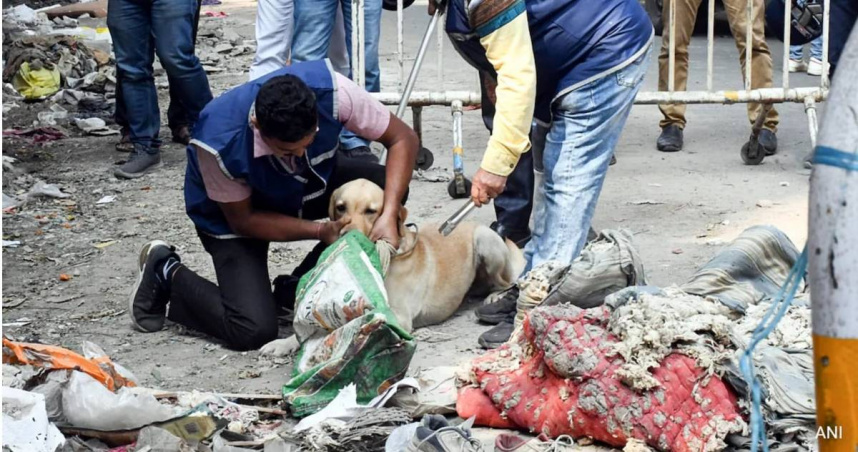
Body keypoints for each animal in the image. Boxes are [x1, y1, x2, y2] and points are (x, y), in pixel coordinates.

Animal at [258, 178, 520, 358]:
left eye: (371, 211)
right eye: (341, 207)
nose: (346, 234)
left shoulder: (398, 316)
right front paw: (283, 343)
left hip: (486, 240)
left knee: (506, 282)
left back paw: (495, 296)